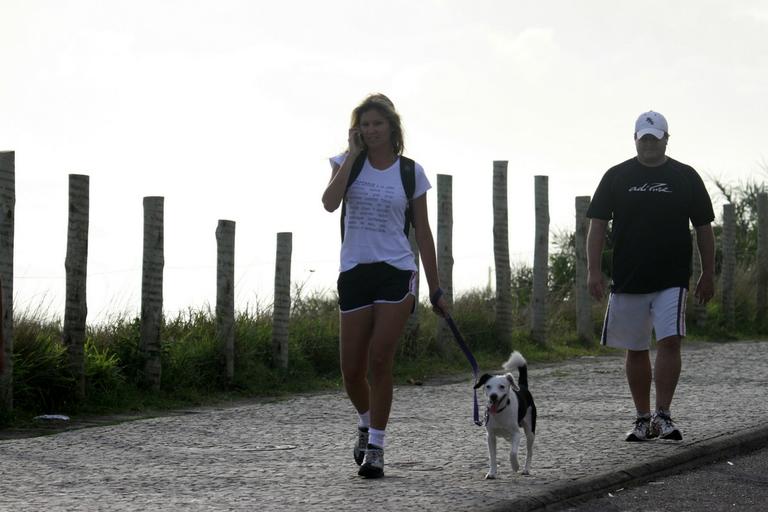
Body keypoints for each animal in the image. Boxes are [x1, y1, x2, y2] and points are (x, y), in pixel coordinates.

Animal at [474, 352, 536, 480]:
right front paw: (492, 473)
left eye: (502, 386)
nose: (493, 396)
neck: (500, 412)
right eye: (488, 386)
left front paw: (515, 466)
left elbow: (512, 453)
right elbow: (492, 456)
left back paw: (526, 469)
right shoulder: (490, 436)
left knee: (529, 451)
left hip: (530, 432)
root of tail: (523, 387)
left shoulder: (516, 434)